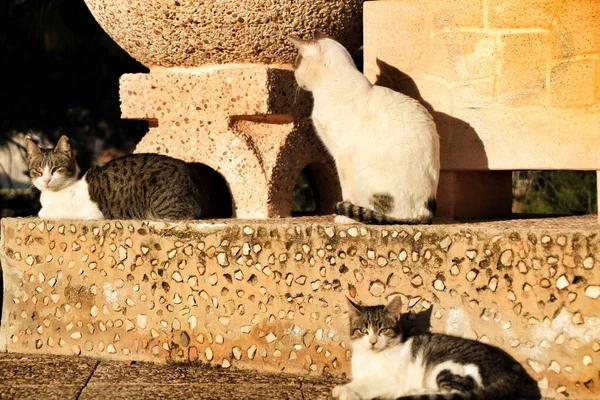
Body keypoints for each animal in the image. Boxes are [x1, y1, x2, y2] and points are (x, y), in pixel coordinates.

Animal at [288, 33, 438, 225]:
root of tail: (426, 211)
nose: (294, 74)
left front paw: (345, 217)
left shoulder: (342, 153)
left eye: (297, 62)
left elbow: (346, 189)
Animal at [336, 296, 540, 400]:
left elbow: (369, 385)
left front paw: (347, 392)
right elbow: (360, 381)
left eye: (383, 330)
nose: (372, 341)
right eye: (363, 330)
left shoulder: (391, 381)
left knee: (456, 393)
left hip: (450, 366)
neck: (371, 357)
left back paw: (414, 393)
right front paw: (345, 388)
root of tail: (510, 370)